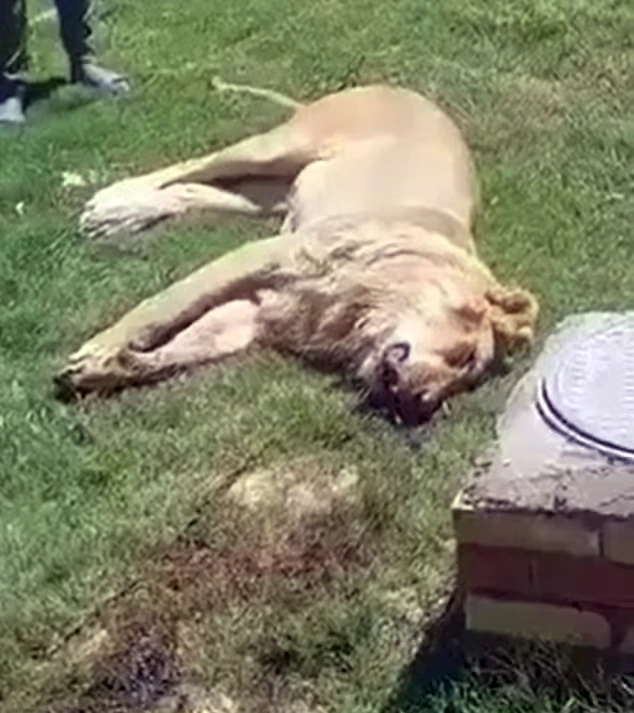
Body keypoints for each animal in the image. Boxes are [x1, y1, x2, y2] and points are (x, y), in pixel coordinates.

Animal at [56, 82, 538, 425]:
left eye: (462, 383)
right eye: (463, 357)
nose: (418, 404)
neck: (361, 314)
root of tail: (402, 87)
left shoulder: (254, 315)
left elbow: (186, 348)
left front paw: (105, 370)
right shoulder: (264, 254)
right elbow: (161, 307)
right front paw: (98, 349)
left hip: (269, 194)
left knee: (193, 191)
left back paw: (119, 216)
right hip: (279, 148)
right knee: (189, 167)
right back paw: (110, 202)